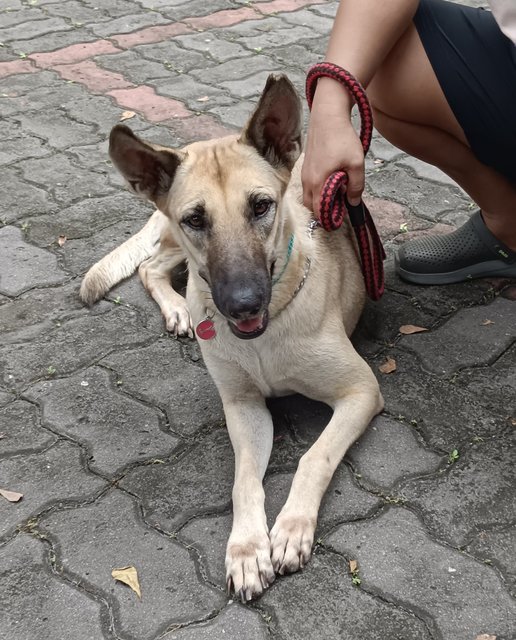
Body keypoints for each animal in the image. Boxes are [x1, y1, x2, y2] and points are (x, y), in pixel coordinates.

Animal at [80, 74, 382, 600]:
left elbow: (315, 455)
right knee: (150, 267)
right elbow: (243, 481)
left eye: (261, 206)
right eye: (196, 219)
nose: (242, 304)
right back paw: (181, 308)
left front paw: (291, 528)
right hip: (172, 245)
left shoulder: (361, 390)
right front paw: (246, 548)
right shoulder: (243, 407)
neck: (264, 338)